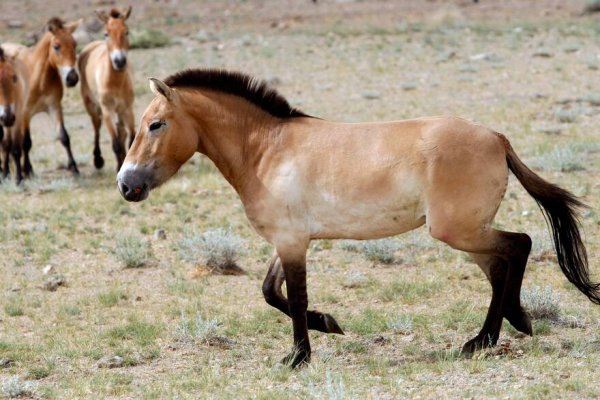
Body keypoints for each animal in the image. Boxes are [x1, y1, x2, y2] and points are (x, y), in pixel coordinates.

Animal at [3, 16, 82, 177]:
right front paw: (27, 170)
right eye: (56, 46)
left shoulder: (54, 107)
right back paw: (7, 170)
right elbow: (26, 142)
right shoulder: (25, 113)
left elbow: (64, 136)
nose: (72, 78)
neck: (40, 78)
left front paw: (74, 167)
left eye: (74, 44)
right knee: (8, 143)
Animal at [78, 6, 135, 170]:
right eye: (106, 33)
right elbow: (115, 144)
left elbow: (131, 138)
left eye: (126, 31)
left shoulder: (128, 109)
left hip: (120, 111)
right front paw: (119, 167)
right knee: (97, 127)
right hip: (92, 106)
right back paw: (98, 160)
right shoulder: (107, 110)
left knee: (121, 132)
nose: (119, 61)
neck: (115, 83)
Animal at [117, 70, 600, 368]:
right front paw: (328, 324)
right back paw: (495, 334)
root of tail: (496, 137)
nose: (126, 185)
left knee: (519, 245)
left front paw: (298, 358)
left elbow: (293, 298)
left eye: (155, 124)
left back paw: (491, 336)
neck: (267, 150)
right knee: (501, 266)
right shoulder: (290, 239)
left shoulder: (292, 242)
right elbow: (271, 292)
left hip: (456, 230)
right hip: (467, 232)